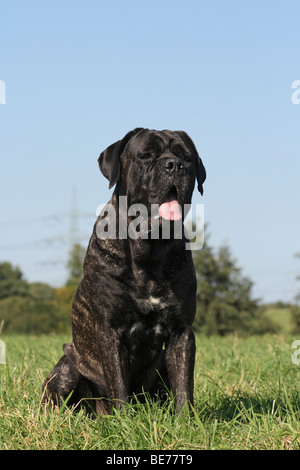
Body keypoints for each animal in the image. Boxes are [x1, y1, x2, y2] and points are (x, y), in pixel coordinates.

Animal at [41, 127, 206, 414]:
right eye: (146, 156)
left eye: (187, 158)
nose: (174, 165)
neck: (148, 254)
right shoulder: (110, 331)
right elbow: (118, 383)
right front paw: (123, 419)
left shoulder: (182, 331)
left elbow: (184, 384)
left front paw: (186, 419)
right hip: (67, 368)